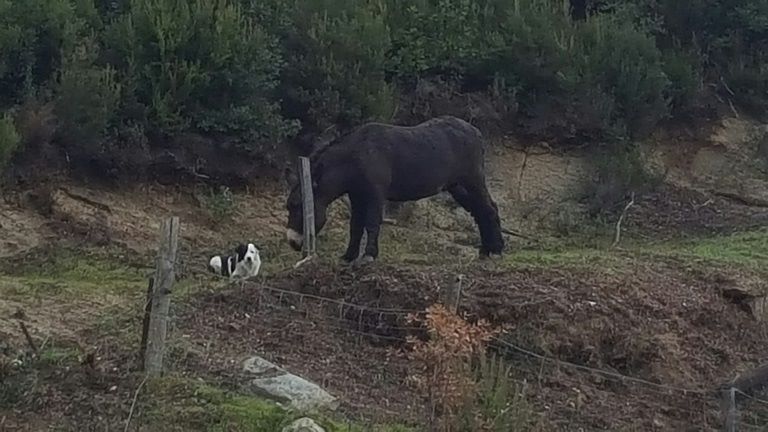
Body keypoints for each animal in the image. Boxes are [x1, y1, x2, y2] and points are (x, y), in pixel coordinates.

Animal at [282, 115, 504, 264]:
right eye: (289, 206)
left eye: (298, 206)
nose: (292, 242)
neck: (355, 158)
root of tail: (474, 130)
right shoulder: (357, 196)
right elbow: (355, 225)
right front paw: (349, 256)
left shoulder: (374, 194)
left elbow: (372, 222)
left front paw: (369, 256)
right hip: (457, 186)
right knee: (480, 211)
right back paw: (486, 250)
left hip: (472, 180)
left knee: (489, 208)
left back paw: (496, 250)